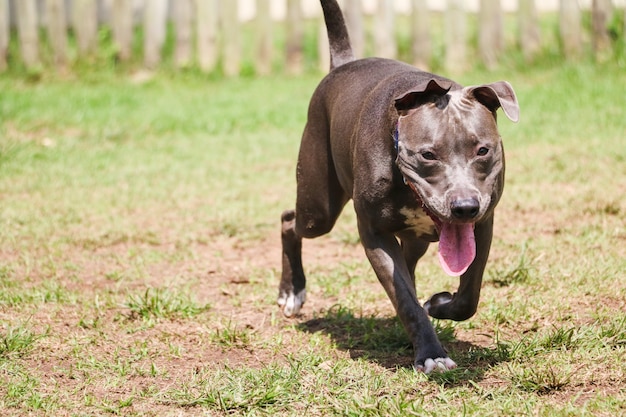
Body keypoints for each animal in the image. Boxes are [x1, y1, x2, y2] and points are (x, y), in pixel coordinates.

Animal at [278, 0, 516, 370]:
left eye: (483, 150)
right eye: (428, 154)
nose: (464, 207)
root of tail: (343, 63)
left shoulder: (484, 223)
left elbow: (469, 293)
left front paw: (440, 304)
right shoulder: (374, 233)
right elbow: (403, 296)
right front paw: (431, 354)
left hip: (414, 237)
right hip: (318, 207)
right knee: (290, 221)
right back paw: (292, 292)